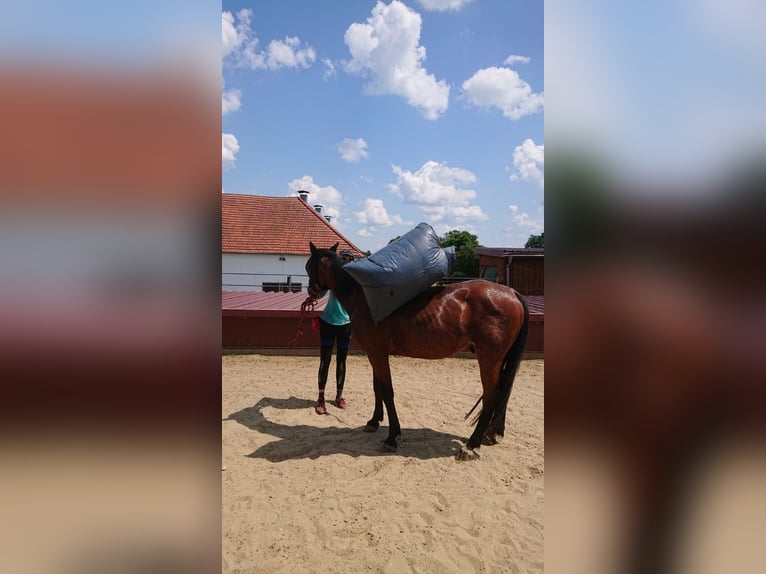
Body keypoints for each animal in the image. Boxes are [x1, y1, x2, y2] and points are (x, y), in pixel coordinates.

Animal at [305, 241, 530, 461]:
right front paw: (374, 422)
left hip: (489, 359)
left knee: (492, 395)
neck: (363, 296)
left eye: (308, 266)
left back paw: (471, 445)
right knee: (502, 393)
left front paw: (392, 437)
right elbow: (377, 388)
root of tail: (512, 293)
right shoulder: (374, 354)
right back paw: (491, 434)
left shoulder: (378, 354)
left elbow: (387, 391)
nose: (310, 293)